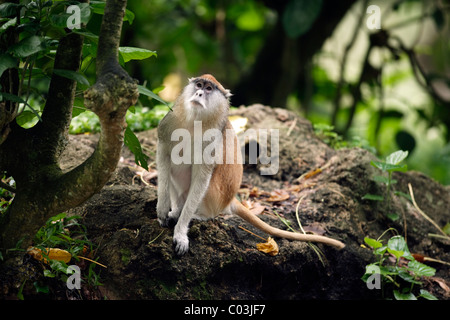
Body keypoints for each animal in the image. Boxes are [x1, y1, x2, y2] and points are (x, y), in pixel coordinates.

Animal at [156, 73, 344, 255]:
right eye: (199, 85)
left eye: (209, 88)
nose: (199, 94)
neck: (197, 120)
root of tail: (229, 200)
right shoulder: (171, 121)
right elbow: (164, 153)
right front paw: (163, 209)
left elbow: (201, 178)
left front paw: (181, 232)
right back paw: (177, 208)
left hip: (215, 197)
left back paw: (199, 215)